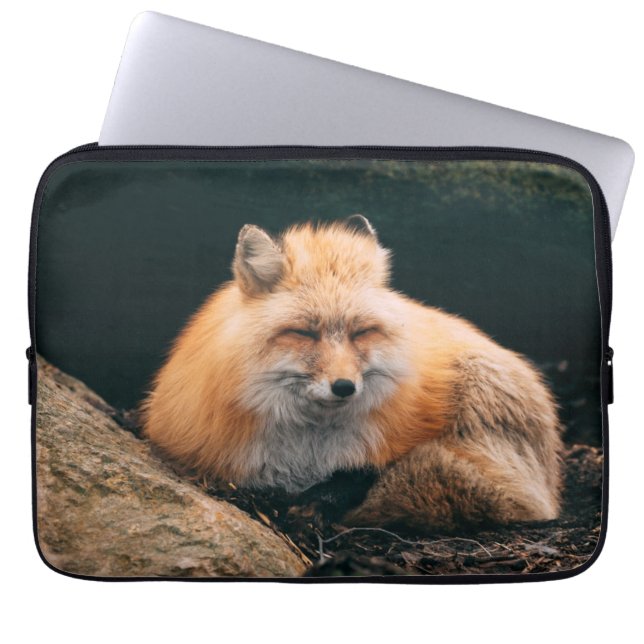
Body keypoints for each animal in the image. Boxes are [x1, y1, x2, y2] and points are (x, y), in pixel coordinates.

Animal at [141, 215, 563, 532]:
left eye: (361, 332)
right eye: (304, 333)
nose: (344, 387)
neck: (307, 454)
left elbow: (361, 475)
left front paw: (324, 500)